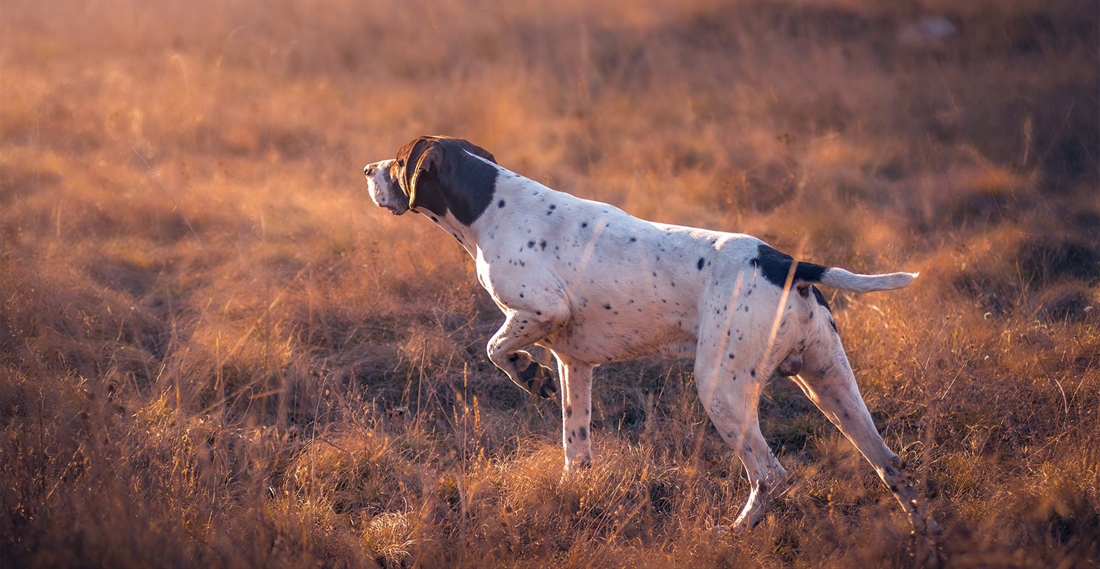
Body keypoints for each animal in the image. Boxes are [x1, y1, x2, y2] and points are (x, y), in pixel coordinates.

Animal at [365, 135, 932, 530]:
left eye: (396, 161)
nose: (366, 169)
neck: (491, 205)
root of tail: (784, 262)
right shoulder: (575, 363)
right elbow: (576, 448)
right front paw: (573, 492)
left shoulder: (540, 310)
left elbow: (495, 348)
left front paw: (528, 375)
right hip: (830, 384)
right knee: (892, 466)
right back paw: (924, 538)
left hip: (722, 390)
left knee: (770, 475)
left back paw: (734, 532)